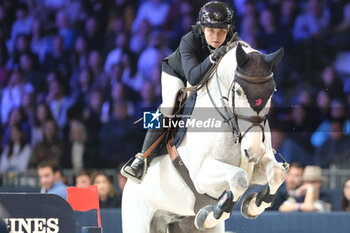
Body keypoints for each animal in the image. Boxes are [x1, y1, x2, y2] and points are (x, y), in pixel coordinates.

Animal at [121, 42, 286, 233]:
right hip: (137, 220)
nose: (253, 151)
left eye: (272, 92)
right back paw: (136, 168)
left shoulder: (258, 169)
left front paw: (252, 205)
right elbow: (239, 178)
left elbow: (277, 173)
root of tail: (127, 187)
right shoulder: (200, 174)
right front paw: (210, 215)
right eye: (237, 91)